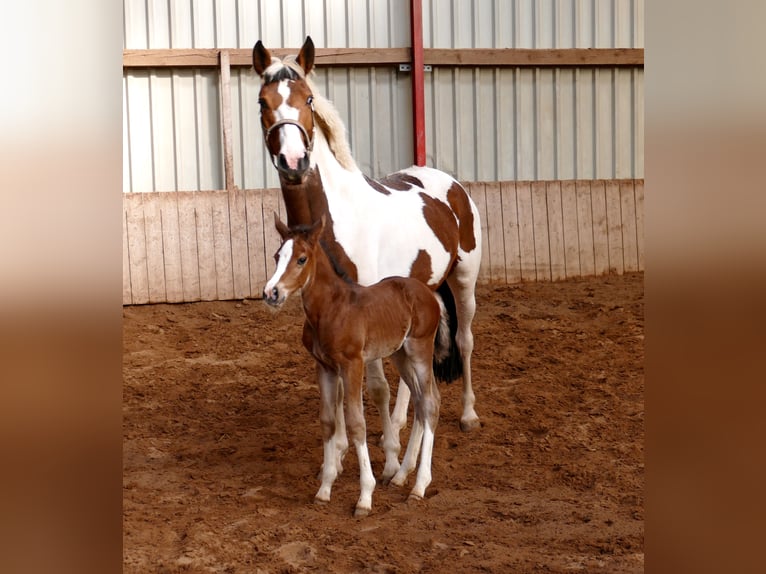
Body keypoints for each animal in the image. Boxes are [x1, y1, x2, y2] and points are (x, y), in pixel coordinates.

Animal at [251, 36, 482, 445]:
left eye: (308, 98)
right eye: (263, 102)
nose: (293, 162)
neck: (336, 217)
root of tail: (451, 185)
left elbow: (375, 386)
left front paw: (388, 445)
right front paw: (343, 444)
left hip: (465, 278)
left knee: (465, 339)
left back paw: (467, 415)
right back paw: (405, 418)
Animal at [263, 214, 443, 517]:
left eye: (301, 259)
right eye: (277, 256)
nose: (271, 293)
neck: (331, 309)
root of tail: (427, 292)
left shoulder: (353, 364)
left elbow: (357, 423)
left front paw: (365, 497)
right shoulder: (324, 367)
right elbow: (328, 421)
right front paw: (324, 490)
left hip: (419, 349)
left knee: (429, 402)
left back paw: (418, 487)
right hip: (400, 354)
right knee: (422, 401)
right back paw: (400, 477)